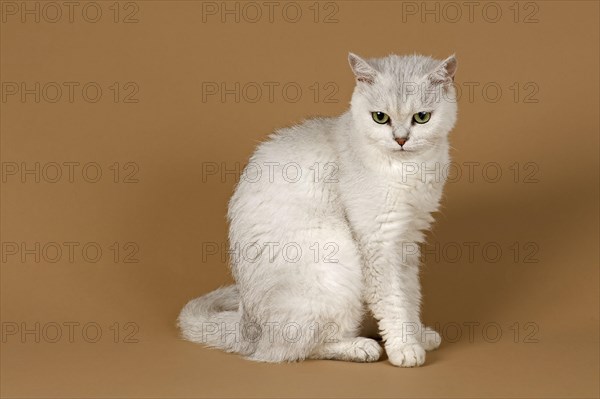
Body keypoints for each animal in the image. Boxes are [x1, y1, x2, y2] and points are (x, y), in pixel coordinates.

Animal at [177, 51, 454, 368]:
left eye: (422, 118)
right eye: (380, 118)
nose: (401, 140)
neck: (410, 170)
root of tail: (248, 328)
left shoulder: (408, 239)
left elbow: (410, 296)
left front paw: (418, 334)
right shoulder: (380, 244)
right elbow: (393, 302)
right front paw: (405, 348)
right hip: (337, 266)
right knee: (298, 349)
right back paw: (361, 347)